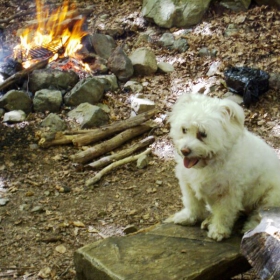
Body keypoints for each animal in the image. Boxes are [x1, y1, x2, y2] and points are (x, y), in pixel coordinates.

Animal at [165, 93, 280, 241]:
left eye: (203, 134)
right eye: (184, 129)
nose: (184, 151)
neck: (209, 163)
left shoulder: (228, 193)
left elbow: (224, 213)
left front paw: (218, 230)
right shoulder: (188, 185)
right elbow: (192, 204)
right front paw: (189, 217)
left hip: (271, 197)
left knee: (260, 215)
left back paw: (250, 227)